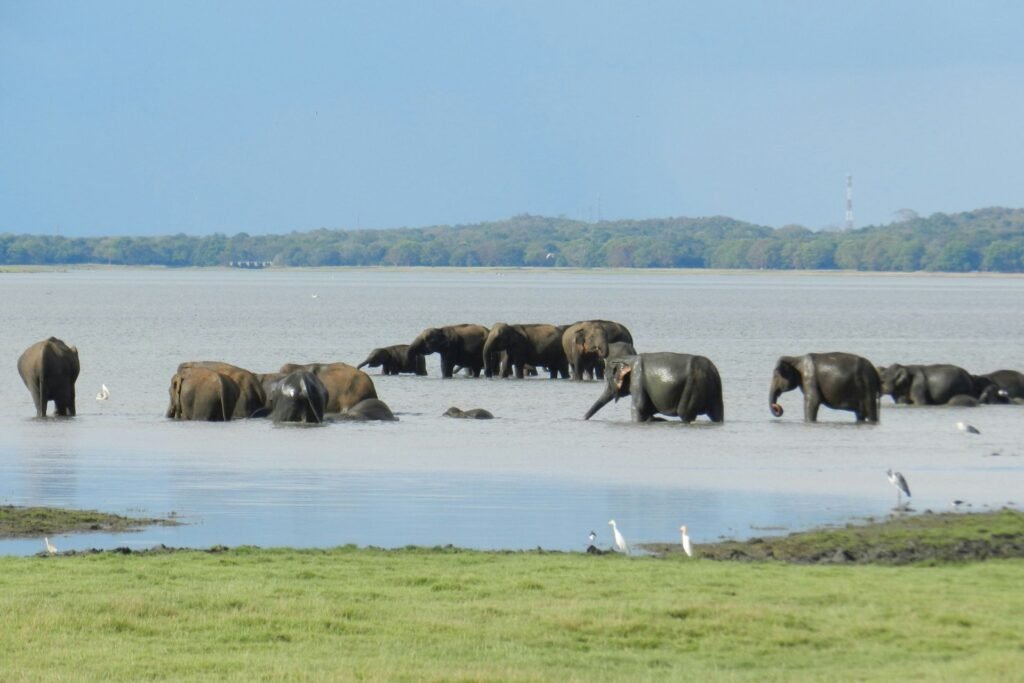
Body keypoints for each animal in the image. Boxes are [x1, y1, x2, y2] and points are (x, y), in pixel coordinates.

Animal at [584, 352, 724, 423]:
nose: (583, 419)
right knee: (717, 414)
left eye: (607, 378)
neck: (629, 358)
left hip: (692, 388)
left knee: (685, 413)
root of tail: (713, 371)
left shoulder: (637, 378)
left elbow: (639, 407)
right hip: (714, 392)